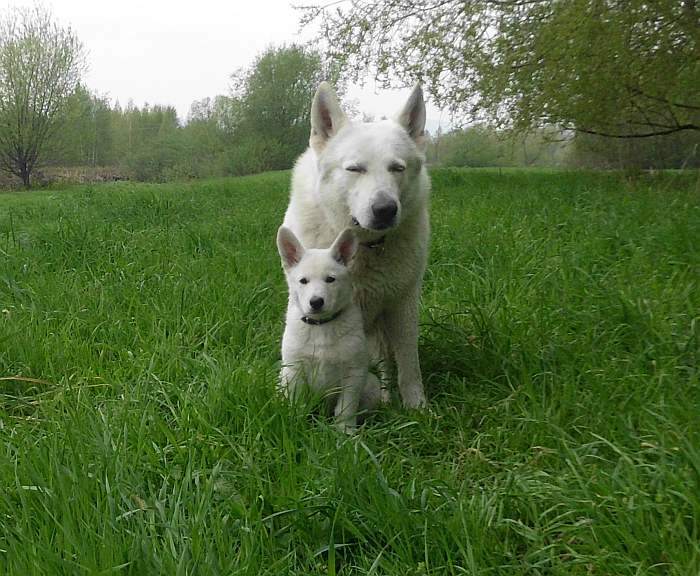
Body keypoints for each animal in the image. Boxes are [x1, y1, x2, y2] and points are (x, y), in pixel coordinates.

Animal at [276, 225, 380, 432]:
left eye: (330, 279)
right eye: (303, 281)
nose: (316, 302)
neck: (321, 326)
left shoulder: (353, 372)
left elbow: (346, 407)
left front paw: (345, 432)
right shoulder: (294, 369)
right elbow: (296, 401)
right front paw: (296, 424)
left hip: (371, 385)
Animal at [282, 82, 430, 410]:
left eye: (397, 168)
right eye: (355, 169)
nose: (385, 209)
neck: (366, 247)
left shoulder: (402, 305)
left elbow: (409, 364)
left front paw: (418, 408)